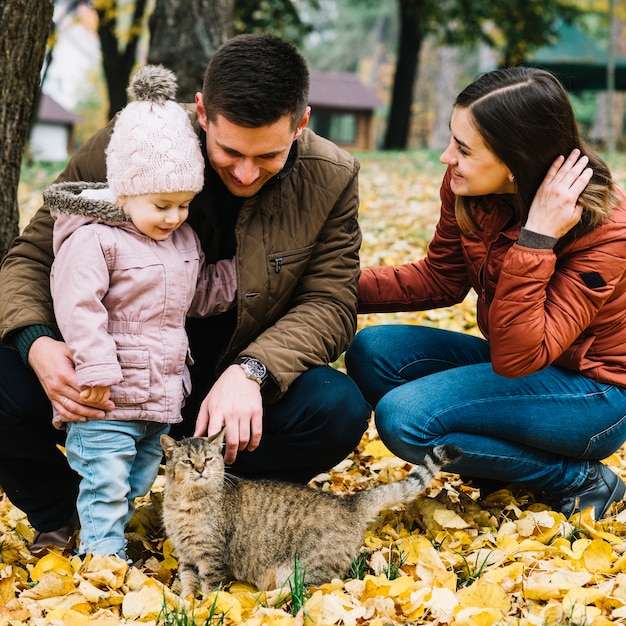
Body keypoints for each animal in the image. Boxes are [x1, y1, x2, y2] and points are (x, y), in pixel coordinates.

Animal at [162, 428, 458, 596]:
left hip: (299, 570)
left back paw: (261, 599)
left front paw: (203, 609)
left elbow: (210, 589)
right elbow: (188, 583)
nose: (200, 469)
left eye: (208, 459)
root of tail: (349, 503)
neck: (184, 503)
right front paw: (185, 604)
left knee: (306, 593)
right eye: (187, 461)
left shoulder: (211, 556)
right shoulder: (186, 555)